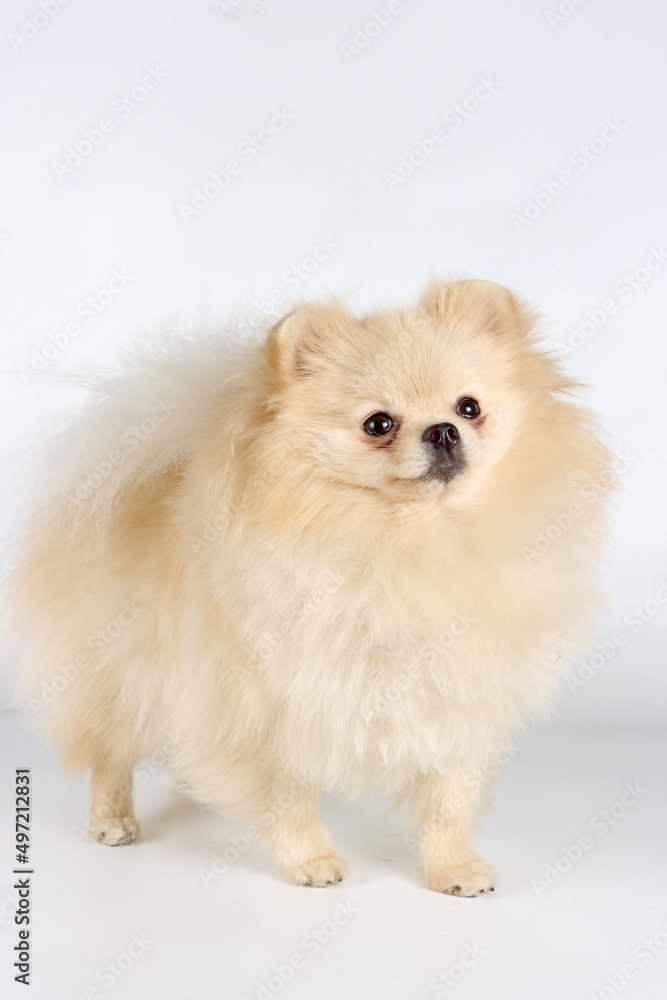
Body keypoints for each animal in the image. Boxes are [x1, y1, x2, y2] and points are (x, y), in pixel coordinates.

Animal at [5, 278, 612, 896]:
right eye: (378, 424)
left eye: (470, 407)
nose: (443, 430)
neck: (410, 542)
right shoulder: (277, 701)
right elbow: (289, 794)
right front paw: (310, 859)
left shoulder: (454, 696)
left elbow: (447, 798)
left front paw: (455, 868)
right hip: (121, 672)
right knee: (110, 752)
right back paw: (113, 820)